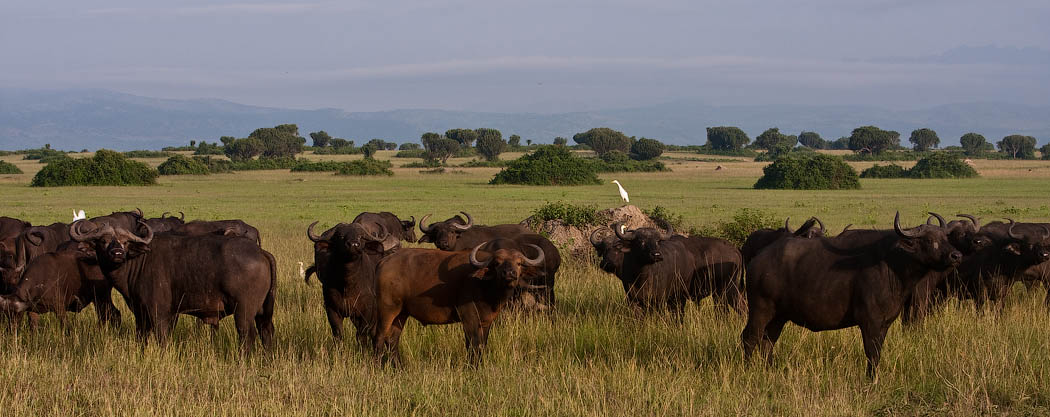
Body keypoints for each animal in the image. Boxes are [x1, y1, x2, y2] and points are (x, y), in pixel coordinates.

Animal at [373, 240, 546, 363]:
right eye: (497, 263)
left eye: (519, 263)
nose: (509, 273)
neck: (486, 288)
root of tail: (383, 262)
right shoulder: (468, 318)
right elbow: (473, 344)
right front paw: (473, 366)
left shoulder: (486, 322)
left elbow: (482, 344)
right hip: (387, 310)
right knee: (379, 337)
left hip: (402, 313)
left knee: (392, 339)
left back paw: (398, 366)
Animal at [747, 213, 961, 376]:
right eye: (929, 240)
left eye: (946, 238)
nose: (956, 255)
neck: (892, 263)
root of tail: (757, 260)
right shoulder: (870, 322)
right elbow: (872, 353)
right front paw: (871, 379)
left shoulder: (885, 323)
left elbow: (878, 352)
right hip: (760, 311)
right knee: (749, 338)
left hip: (778, 317)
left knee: (767, 342)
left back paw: (770, 370)